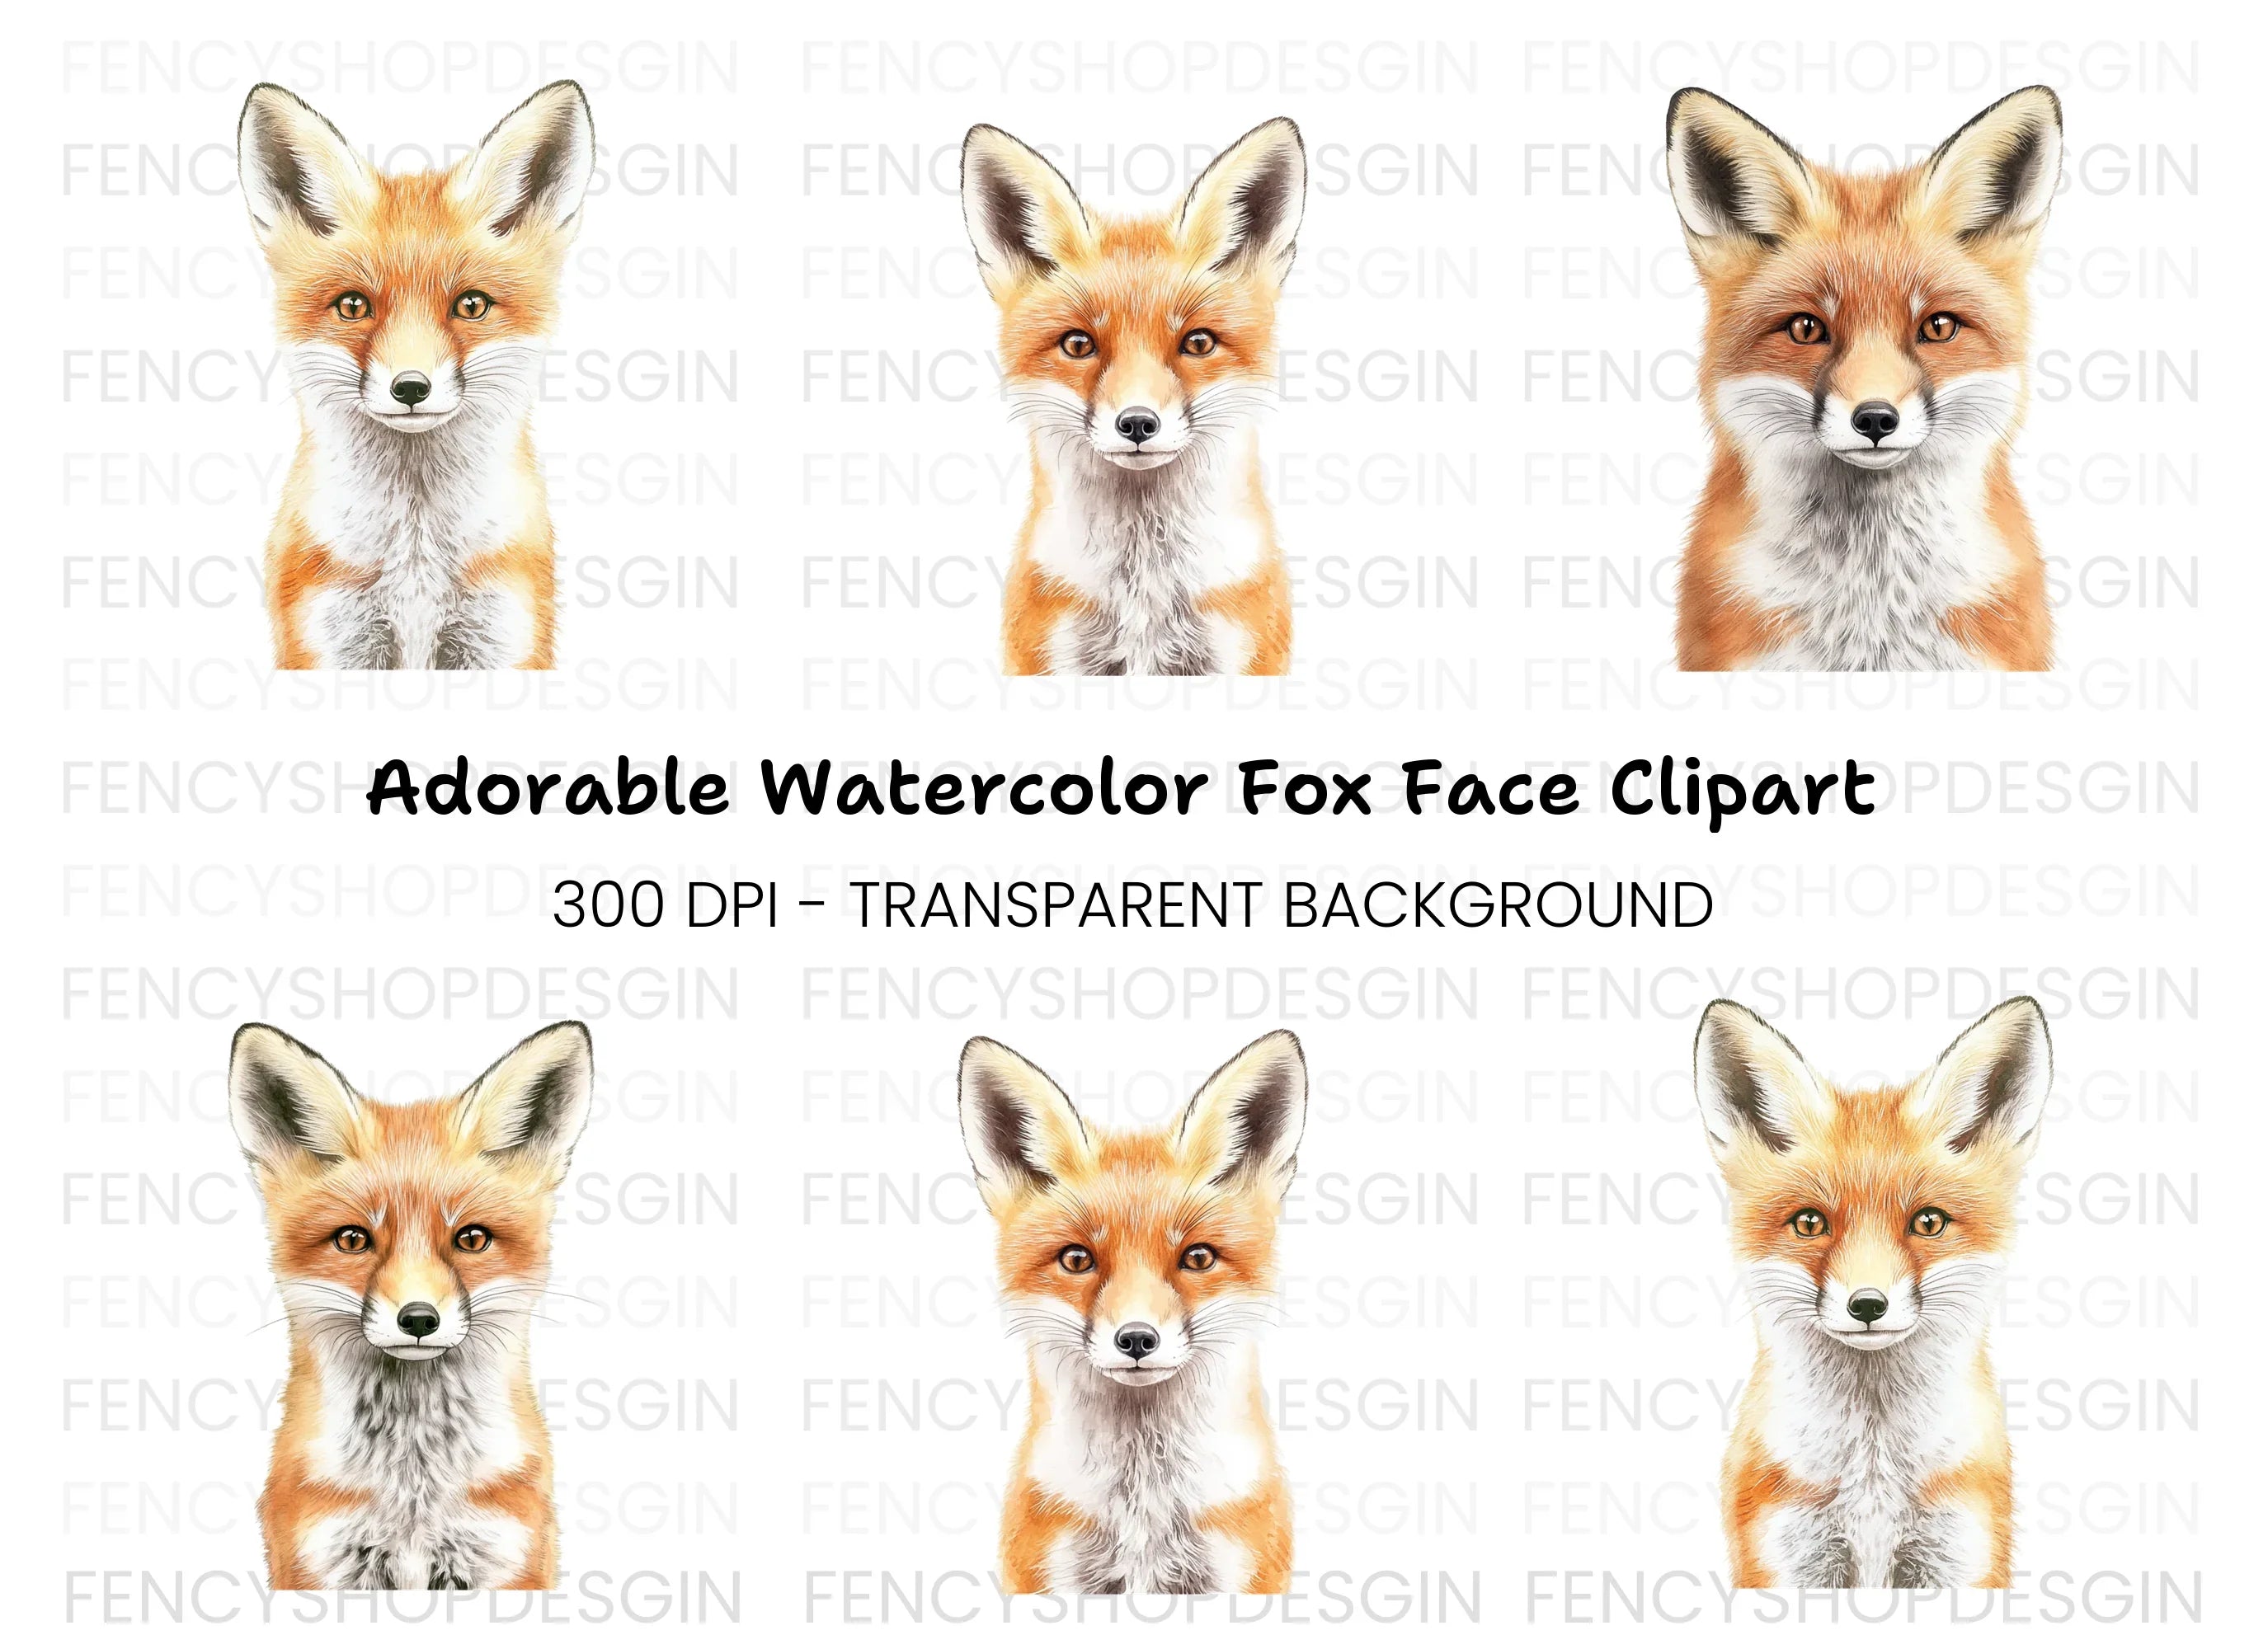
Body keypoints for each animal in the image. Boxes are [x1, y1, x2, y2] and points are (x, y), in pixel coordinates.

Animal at [226, 1021, 593, 1589]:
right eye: (353, 1239)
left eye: (472, 1239)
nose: (419, 1319)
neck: (413, 1490)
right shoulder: (319, 1560)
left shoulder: (508, 1556)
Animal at [235, 81, 595, 669]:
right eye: (353, 306)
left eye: (471, 305)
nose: (410, 388)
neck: (416, 552)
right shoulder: (331, 639)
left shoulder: (501, 635)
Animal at [1693, 997, 2051, 1587]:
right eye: (1810, 1223)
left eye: (1928, 1222)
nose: (1867, 1305)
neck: (1873, 1470)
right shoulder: (1787, 1559)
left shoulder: (1958, 1554)